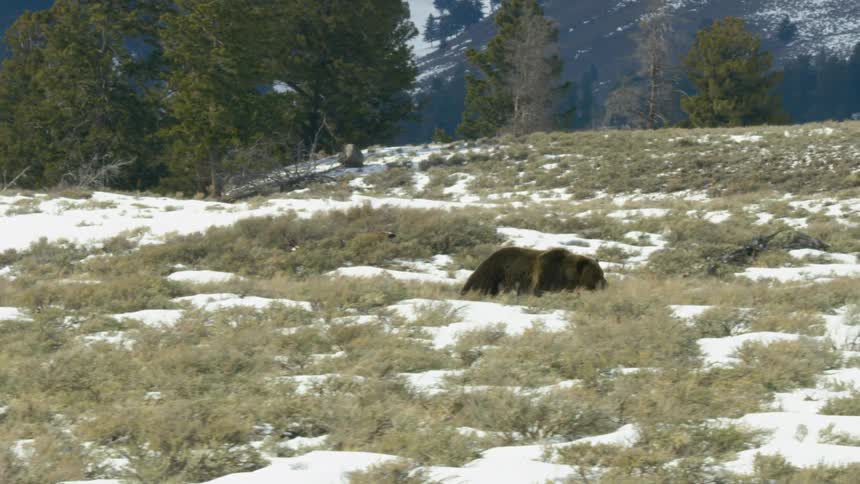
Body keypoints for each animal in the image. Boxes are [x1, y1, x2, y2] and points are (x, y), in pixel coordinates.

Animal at [460, 247, 607, 297]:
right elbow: (538, 289)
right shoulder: (545, 273)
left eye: (602, 273)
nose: (605, 284)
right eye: (597, 274)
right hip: (494, 273)